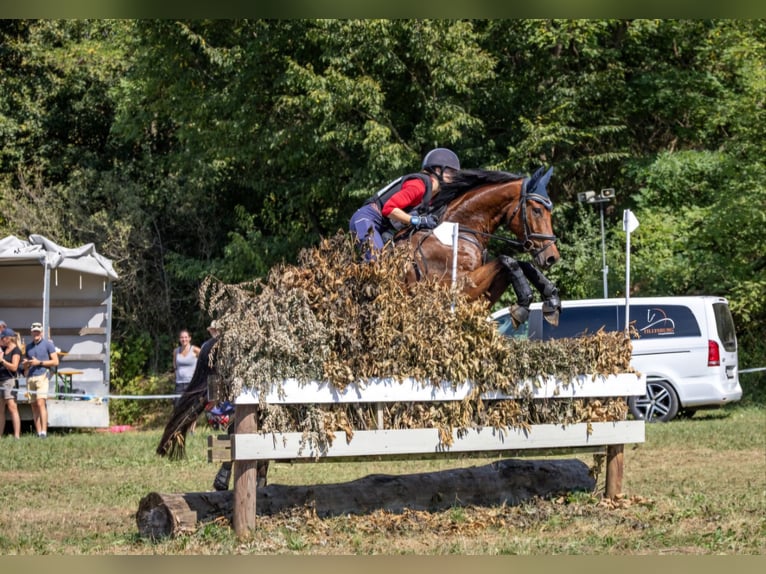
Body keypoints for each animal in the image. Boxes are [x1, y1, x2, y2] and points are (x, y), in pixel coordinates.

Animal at [402, 166, 564, 328]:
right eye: (537, 210)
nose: (552, 257)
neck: (461, 230)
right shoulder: (454, 288)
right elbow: (507, 260)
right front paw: (523, 306)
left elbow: (519, 264)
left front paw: (551, 299)